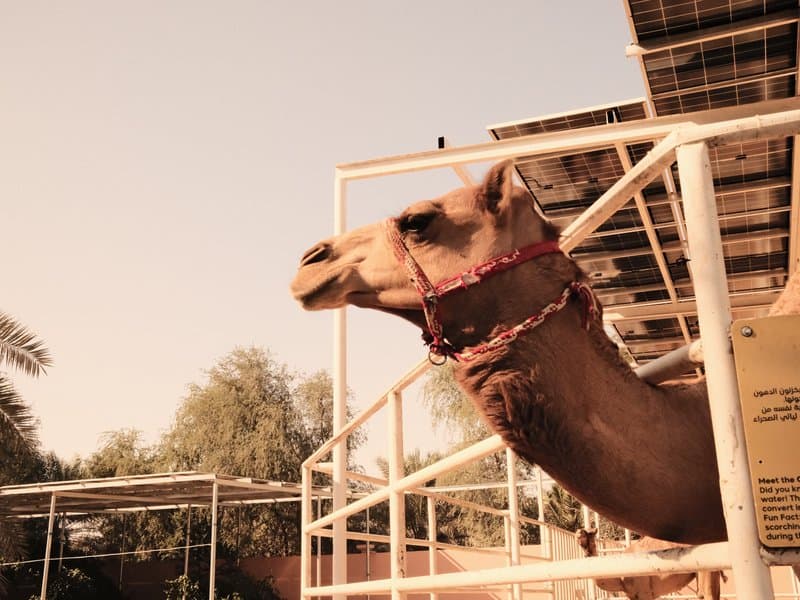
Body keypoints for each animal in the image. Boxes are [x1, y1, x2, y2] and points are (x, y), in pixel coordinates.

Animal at [576, 528, 724, 600]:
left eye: (590, 536)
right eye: (582, 532)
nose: (579, 533)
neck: (621, 579)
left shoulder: (644, 593)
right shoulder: (634, 596)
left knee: (706, 594)